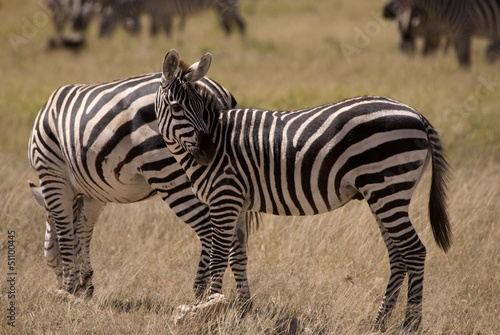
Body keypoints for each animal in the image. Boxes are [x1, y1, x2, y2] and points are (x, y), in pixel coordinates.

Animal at [27, 70, 256, 300]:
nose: (61, 283)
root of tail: (216, 92)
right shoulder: (94, 192)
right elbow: (84, 227)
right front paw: (86, 282)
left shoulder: (52, 176)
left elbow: (65, 233)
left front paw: (70, 288)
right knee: (235, 237)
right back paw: (242, 299)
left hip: (169, 172)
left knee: (210, 230)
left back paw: (201, 291)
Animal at [96, 0, 245, 38]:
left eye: (104, 23)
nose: (100, 41)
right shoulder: (166, 13)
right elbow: (168, 31)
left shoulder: (155, 11)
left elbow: (154, 31)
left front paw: (153, 44)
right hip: (219, 7)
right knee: (228, 26)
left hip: (226, 4)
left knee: (241, 24)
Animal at [154, 50, 452, 334]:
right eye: (177, 106)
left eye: (199, 106)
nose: (208, 152)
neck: (218, 137)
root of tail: (416, 114)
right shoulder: (236, 202)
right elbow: (237, 257)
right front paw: (242, 311)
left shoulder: (224, 198)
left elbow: (218, 258)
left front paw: (212, 311)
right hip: (383, 195)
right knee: (398, 255)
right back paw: (379, 322)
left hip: (388, 189)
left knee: (414, 251)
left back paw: (410, 325)